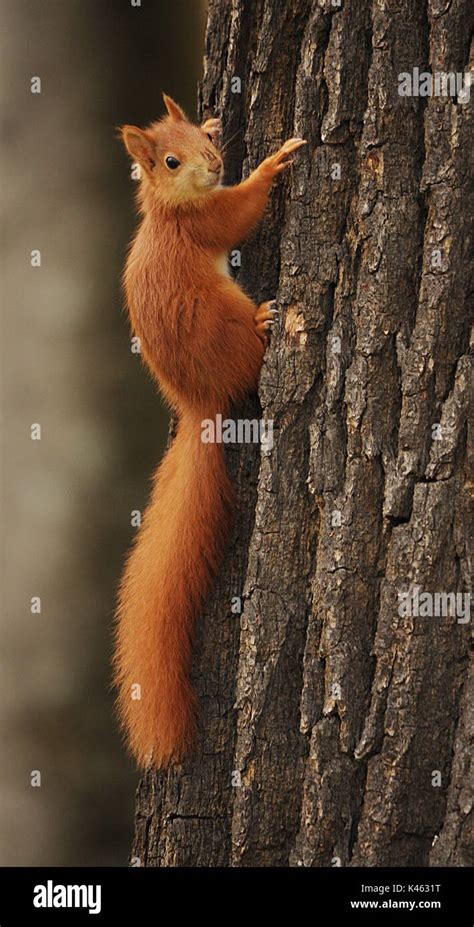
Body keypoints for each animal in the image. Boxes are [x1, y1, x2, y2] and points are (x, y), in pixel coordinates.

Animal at [115, 94, 308, 768]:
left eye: (196, 135)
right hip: (225, 325)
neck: (169, 209)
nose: (216, 158)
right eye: (169, 161)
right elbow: (239, 213)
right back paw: (266, 319)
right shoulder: (206, 223)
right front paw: (273, 164)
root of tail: (198, 404)